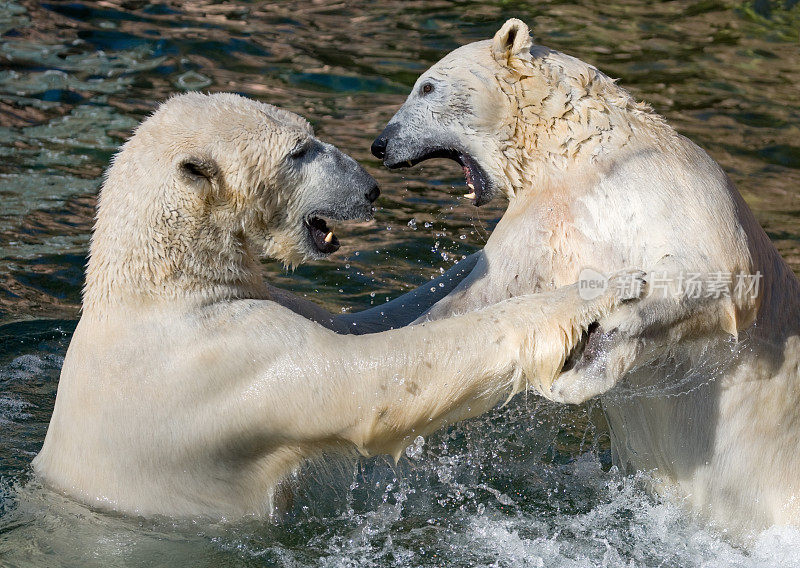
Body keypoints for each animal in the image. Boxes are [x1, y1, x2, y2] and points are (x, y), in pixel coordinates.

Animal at [32, 90, 644, 520]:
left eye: (309, 137)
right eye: (299, 151)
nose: (370, 189)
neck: (159, 290)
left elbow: (362, 323)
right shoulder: (230, 362)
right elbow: (375, 380)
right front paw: (597, 291)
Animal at [374, 17, 800, 532]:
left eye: (426, 86)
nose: (380, 144)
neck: (578, 152)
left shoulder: (665, 189)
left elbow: (714, 273)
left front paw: (587, 360)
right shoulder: (547, 219)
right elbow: (482, 296)